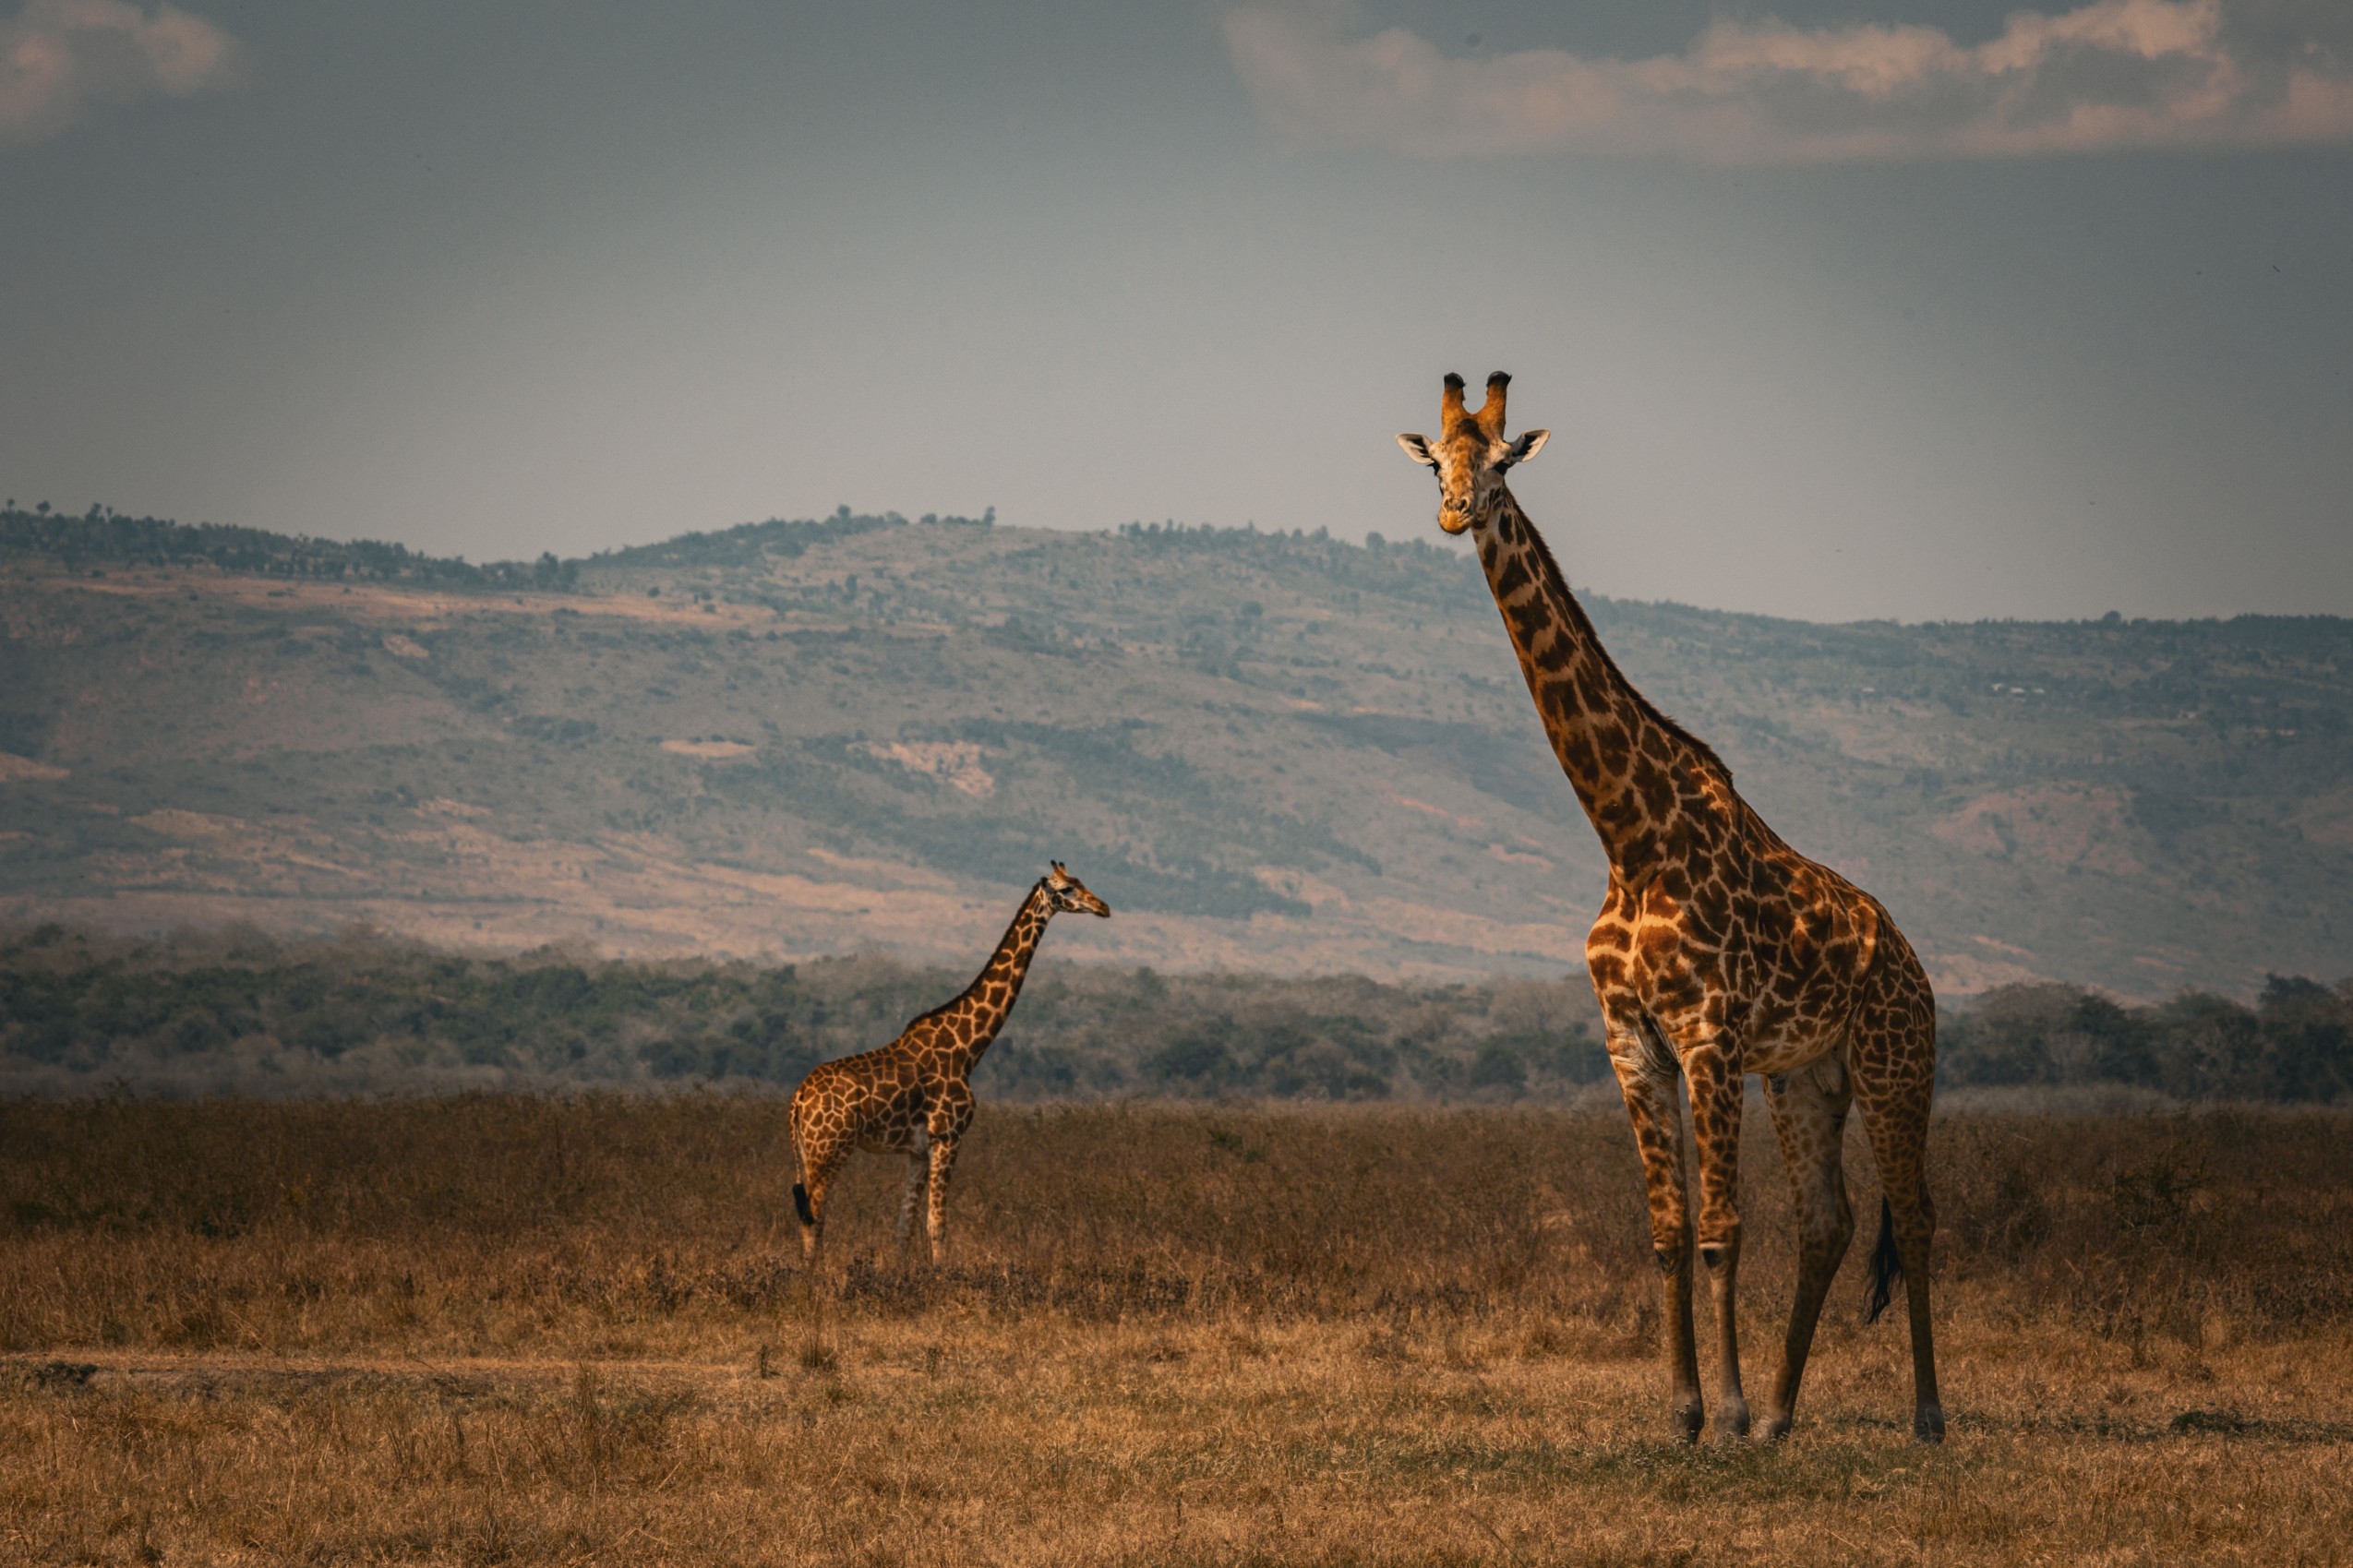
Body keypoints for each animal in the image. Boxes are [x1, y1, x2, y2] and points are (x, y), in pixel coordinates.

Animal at [789, 863, 1110, 1265]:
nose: (1103, 907)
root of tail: (798, 1099)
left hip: (809, 1150)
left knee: (812, 1215)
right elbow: (937, 1225)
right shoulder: (948, 1137)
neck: (968, 1048)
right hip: (831, 1147)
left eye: (1081, 881)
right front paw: (942, 1275)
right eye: (1067, 889)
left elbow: (905, 1227)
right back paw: (811, 1275)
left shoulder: (917, 1152)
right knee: (814, 1216)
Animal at [1398, 373, 1943, 1444]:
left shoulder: (1707, 1035)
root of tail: (1910, 958)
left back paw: (1924, 1416)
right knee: (1828, 1221)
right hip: (1805, 1077)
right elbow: (1665, 1229)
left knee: (1914, 1214)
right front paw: (1689, 1412)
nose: (1454, 513)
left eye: (1503, 463)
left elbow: (1722, 1230)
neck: (1627, 835)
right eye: (1435, 462)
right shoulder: (1632, 1042)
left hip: (1893, 1063)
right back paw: (1780, 1418)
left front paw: (1720, 1412)